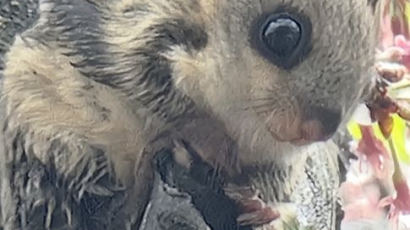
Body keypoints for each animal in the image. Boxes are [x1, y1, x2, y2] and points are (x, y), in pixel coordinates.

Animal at [0, 0, 382, 229]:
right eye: (283, 34)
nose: (318, 129)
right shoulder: (118, 27)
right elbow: (146, 78)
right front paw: (205, 138)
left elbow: (273, 178)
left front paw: (260, 206)